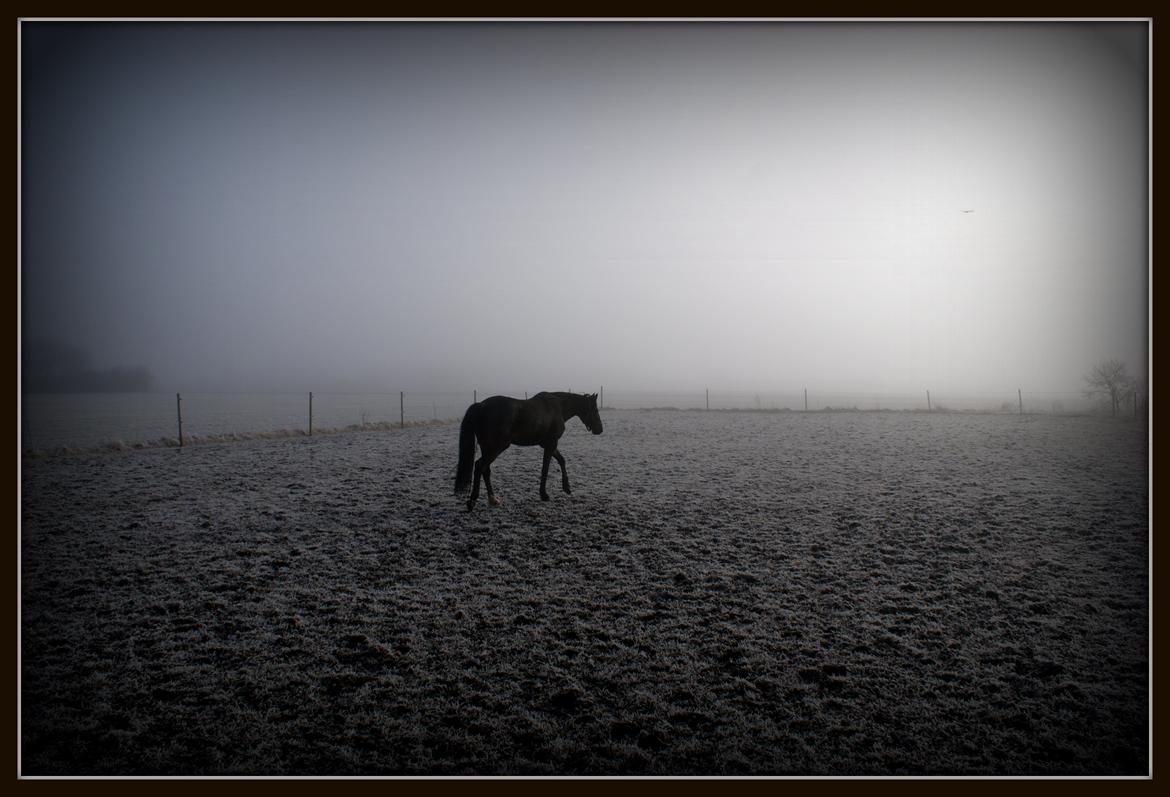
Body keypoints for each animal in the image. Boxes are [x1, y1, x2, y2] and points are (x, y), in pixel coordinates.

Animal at [453, 390, 603, 510]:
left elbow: (562, 460)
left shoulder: (548, 444)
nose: (600, 429)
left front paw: (566, 487)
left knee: (485, 470)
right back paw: (472, 500)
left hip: (487, 448)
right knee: (479, 466)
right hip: (496, 447)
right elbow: (545, 468)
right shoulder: (551, 444)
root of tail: (480, 406)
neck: (557, 408)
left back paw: (493, 499)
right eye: (595, 410)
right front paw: (544, 494)